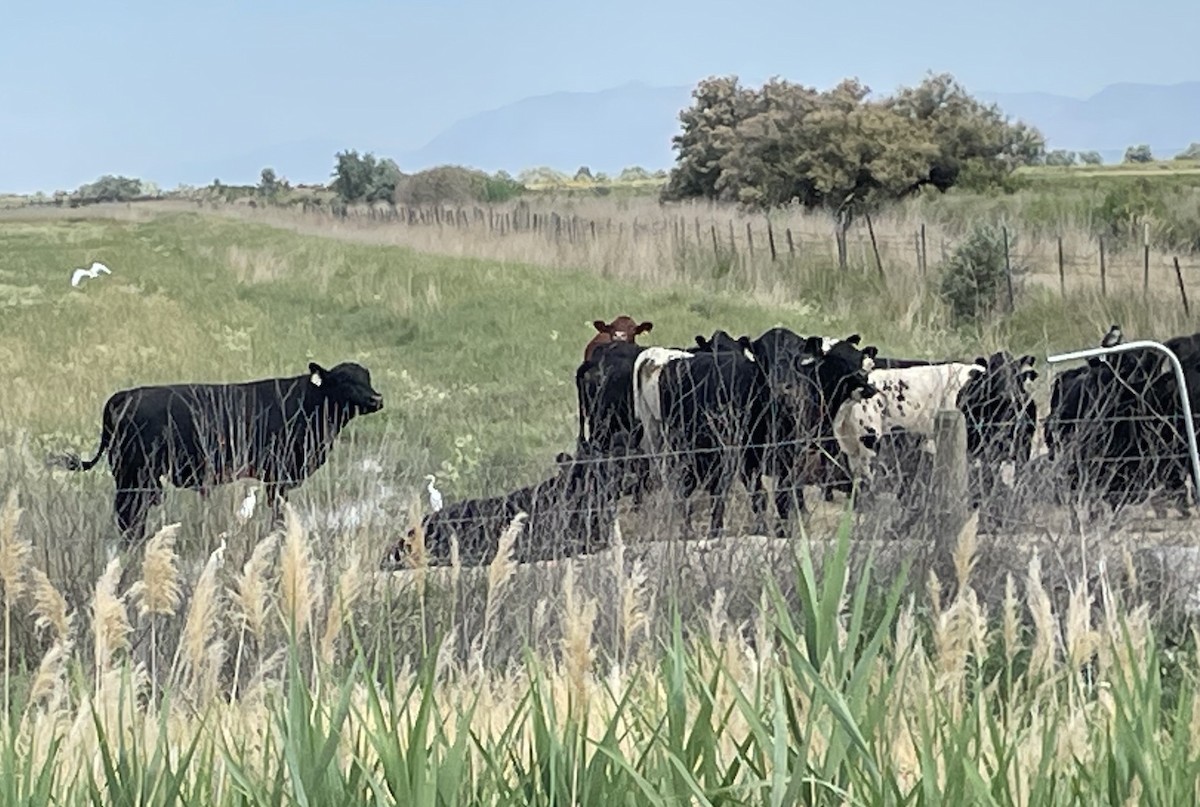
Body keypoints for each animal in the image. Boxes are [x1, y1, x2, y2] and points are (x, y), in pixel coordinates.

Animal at [49, 365, 379, 542]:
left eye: (368, 377)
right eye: (345, 380)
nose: (377, 399)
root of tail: (124, 395)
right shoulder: (279, 474)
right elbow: (277, 511)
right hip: (133, 474)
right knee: (128, 514)